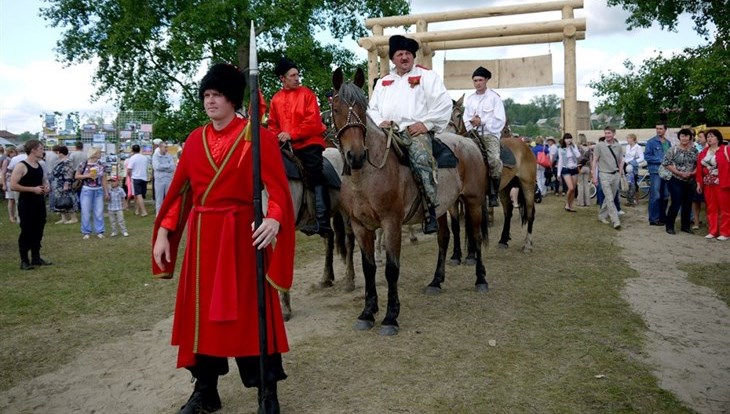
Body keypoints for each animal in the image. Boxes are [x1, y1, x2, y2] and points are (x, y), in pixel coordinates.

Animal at [332, 66, 486, 334]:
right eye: (335, 109)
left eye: (362, 109)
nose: (356, 156)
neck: (367, 176)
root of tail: (469, 142)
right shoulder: (360, 226)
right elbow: (369, 268)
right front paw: (367, 313)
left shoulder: (391, 223)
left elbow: (391, 269)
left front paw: (390, 317)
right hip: (441, 210)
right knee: (444, 238)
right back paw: (436, 281)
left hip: (473, 202)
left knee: (476, 238)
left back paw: (480, 279)